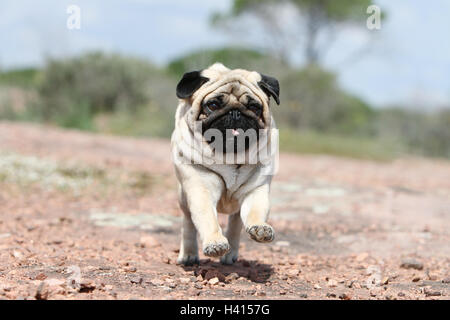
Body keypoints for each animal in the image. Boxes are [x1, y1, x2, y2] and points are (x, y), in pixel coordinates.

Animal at [171, 62, 280, 264]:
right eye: (213, 105)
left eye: (254, 107)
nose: (235, 112)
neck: (230, 156)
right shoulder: (201, 190)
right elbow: (207, 218)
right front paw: (215, 243)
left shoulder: (256, 191)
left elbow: (255, 212)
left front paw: (260, 228)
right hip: (183, 197)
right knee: (188, 223)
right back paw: (189, 254)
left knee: (235, 223)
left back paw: (230, 255)